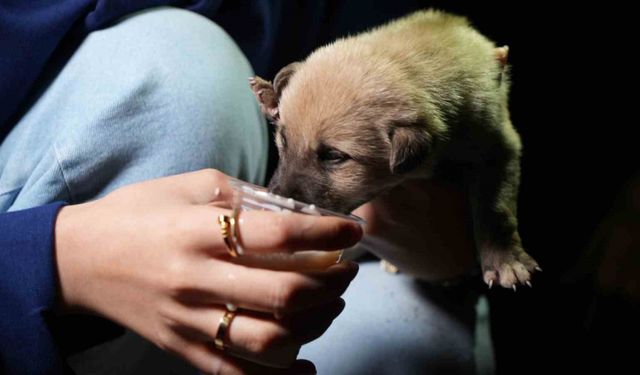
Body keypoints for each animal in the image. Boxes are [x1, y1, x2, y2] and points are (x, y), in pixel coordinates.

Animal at [250, 10, 540, 290]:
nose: (276, 198)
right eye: (284, 141)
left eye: (334, 156)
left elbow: (496, 208)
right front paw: (272, 95)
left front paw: (506, 261)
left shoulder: (498, 146)